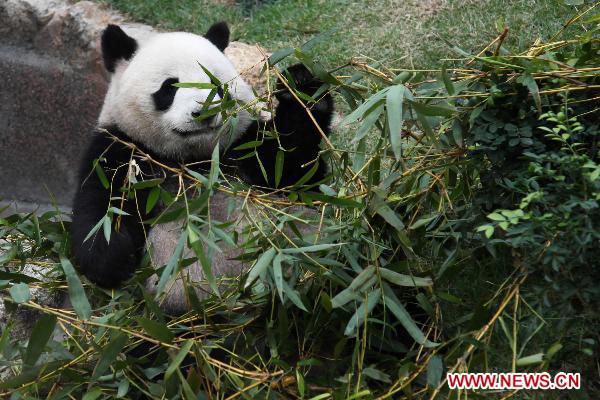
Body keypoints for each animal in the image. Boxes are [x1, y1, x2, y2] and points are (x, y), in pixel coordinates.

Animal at [71, 22, 336, 316]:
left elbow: (291, 166)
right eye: (170, 87)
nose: (204, 111)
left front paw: (302, 88)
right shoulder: (123, 151)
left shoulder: (244, 148)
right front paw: (114, 259)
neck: (192, 160)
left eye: (216, 85)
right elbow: (101, 206)